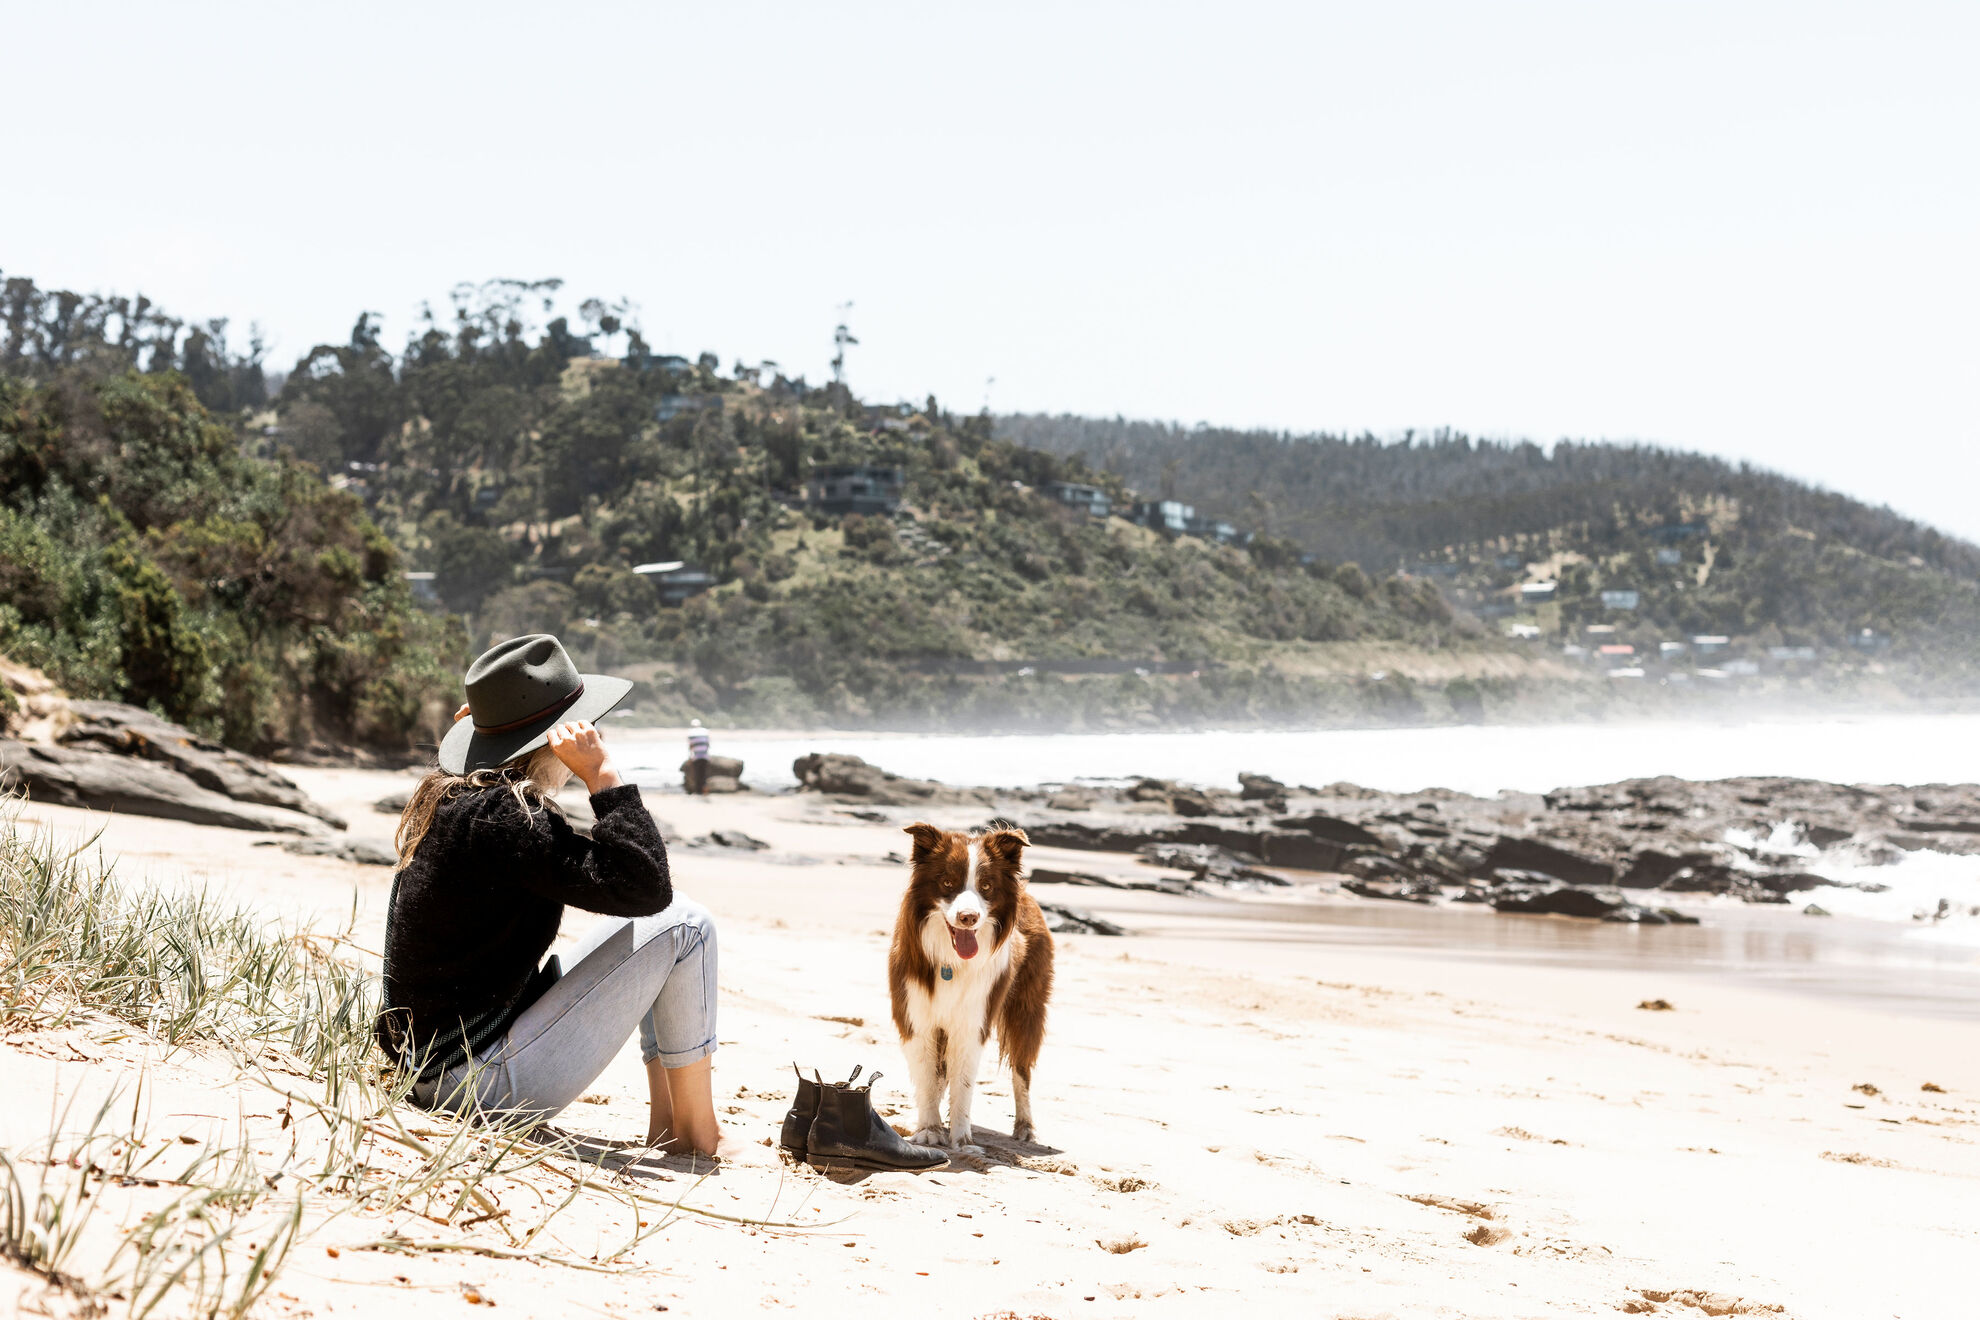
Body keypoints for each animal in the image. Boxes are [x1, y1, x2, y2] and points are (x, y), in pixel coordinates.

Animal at [894, 819, 1061, 1147]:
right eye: (948, 883)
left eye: (986, 887)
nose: (968, 917)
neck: (951, 961)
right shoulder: (916, 1017)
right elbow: (928, 1077)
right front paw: (929, 1130)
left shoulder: (973, 1021)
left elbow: (963, 1083)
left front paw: (962, 1140)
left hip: (1026, 1009)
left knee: (1021, 1070)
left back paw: (1025, 1127)